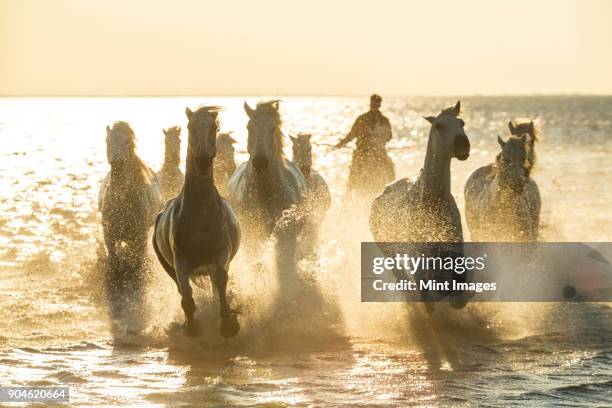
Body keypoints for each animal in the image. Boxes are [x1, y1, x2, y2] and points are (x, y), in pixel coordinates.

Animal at [152, 106, 240, 338]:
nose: (202, 161)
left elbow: (221, 282)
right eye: (190, 127)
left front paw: (229, 324)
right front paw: (192, 328)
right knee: (181, 289)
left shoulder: (221, 254)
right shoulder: (180, 262)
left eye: (215, 127)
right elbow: (187, 297)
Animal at [370, 101, 470, 306]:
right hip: (389, 251)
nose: (463, 144)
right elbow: (428, 295)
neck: (432, 204)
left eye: (462, 123)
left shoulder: (454, 253)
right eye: (439, 126)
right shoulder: (418, 260)